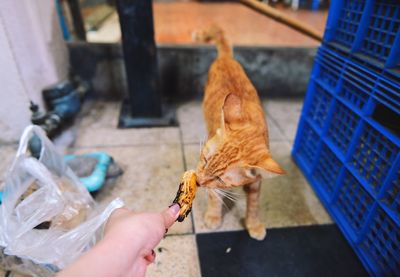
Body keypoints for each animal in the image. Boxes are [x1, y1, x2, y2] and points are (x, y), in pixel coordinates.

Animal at [194, 26, 284, 239]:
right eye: (205, 160)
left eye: (220, 178)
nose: (198, 181)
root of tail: (226, 57)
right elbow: (214, 196)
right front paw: (213, 216)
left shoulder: (256, 183)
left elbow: (254, 205)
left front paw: (253, 224)